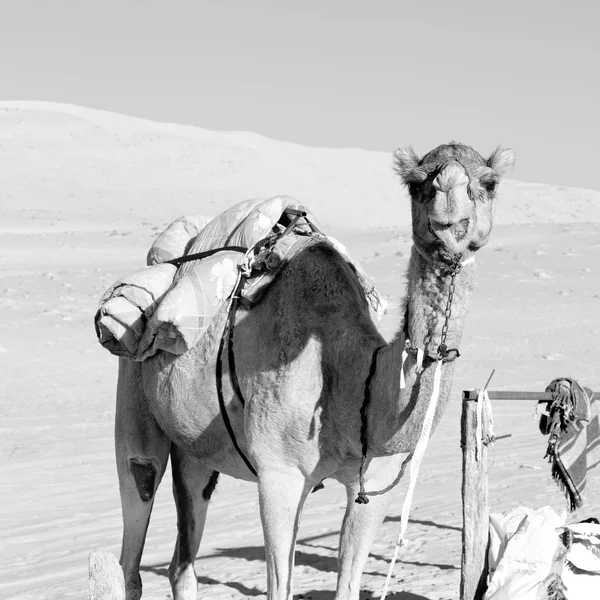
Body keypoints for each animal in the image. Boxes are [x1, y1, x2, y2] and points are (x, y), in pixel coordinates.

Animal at [116, 142, 516, 600]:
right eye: (417, 184)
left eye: (489, 182)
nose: (449, 219)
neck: (354, 382)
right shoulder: (280, 475)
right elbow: (279, 586)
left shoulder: (375, 482)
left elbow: (348, 582)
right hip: (133, 391)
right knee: (138, 498)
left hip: (196, 451)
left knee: (182, 558)